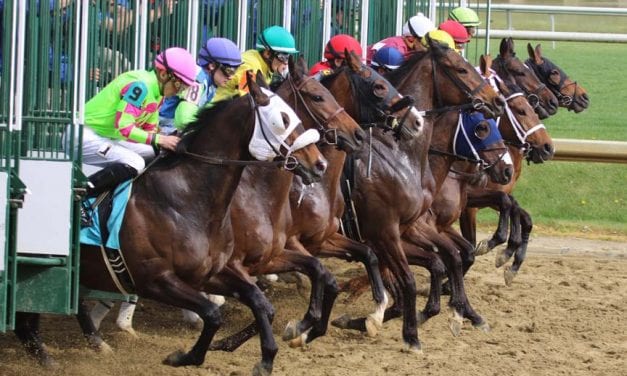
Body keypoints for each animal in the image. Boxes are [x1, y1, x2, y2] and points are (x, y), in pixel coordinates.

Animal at [14, 72, 328, 374]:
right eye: (282, 119)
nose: (319, 164)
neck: (188, 197)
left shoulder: (208, 273)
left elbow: (259, 301)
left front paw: (270, 355)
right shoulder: (156, 279)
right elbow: (213, 314)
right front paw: (183, 357)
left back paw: (80, 346)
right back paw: (45, 351)